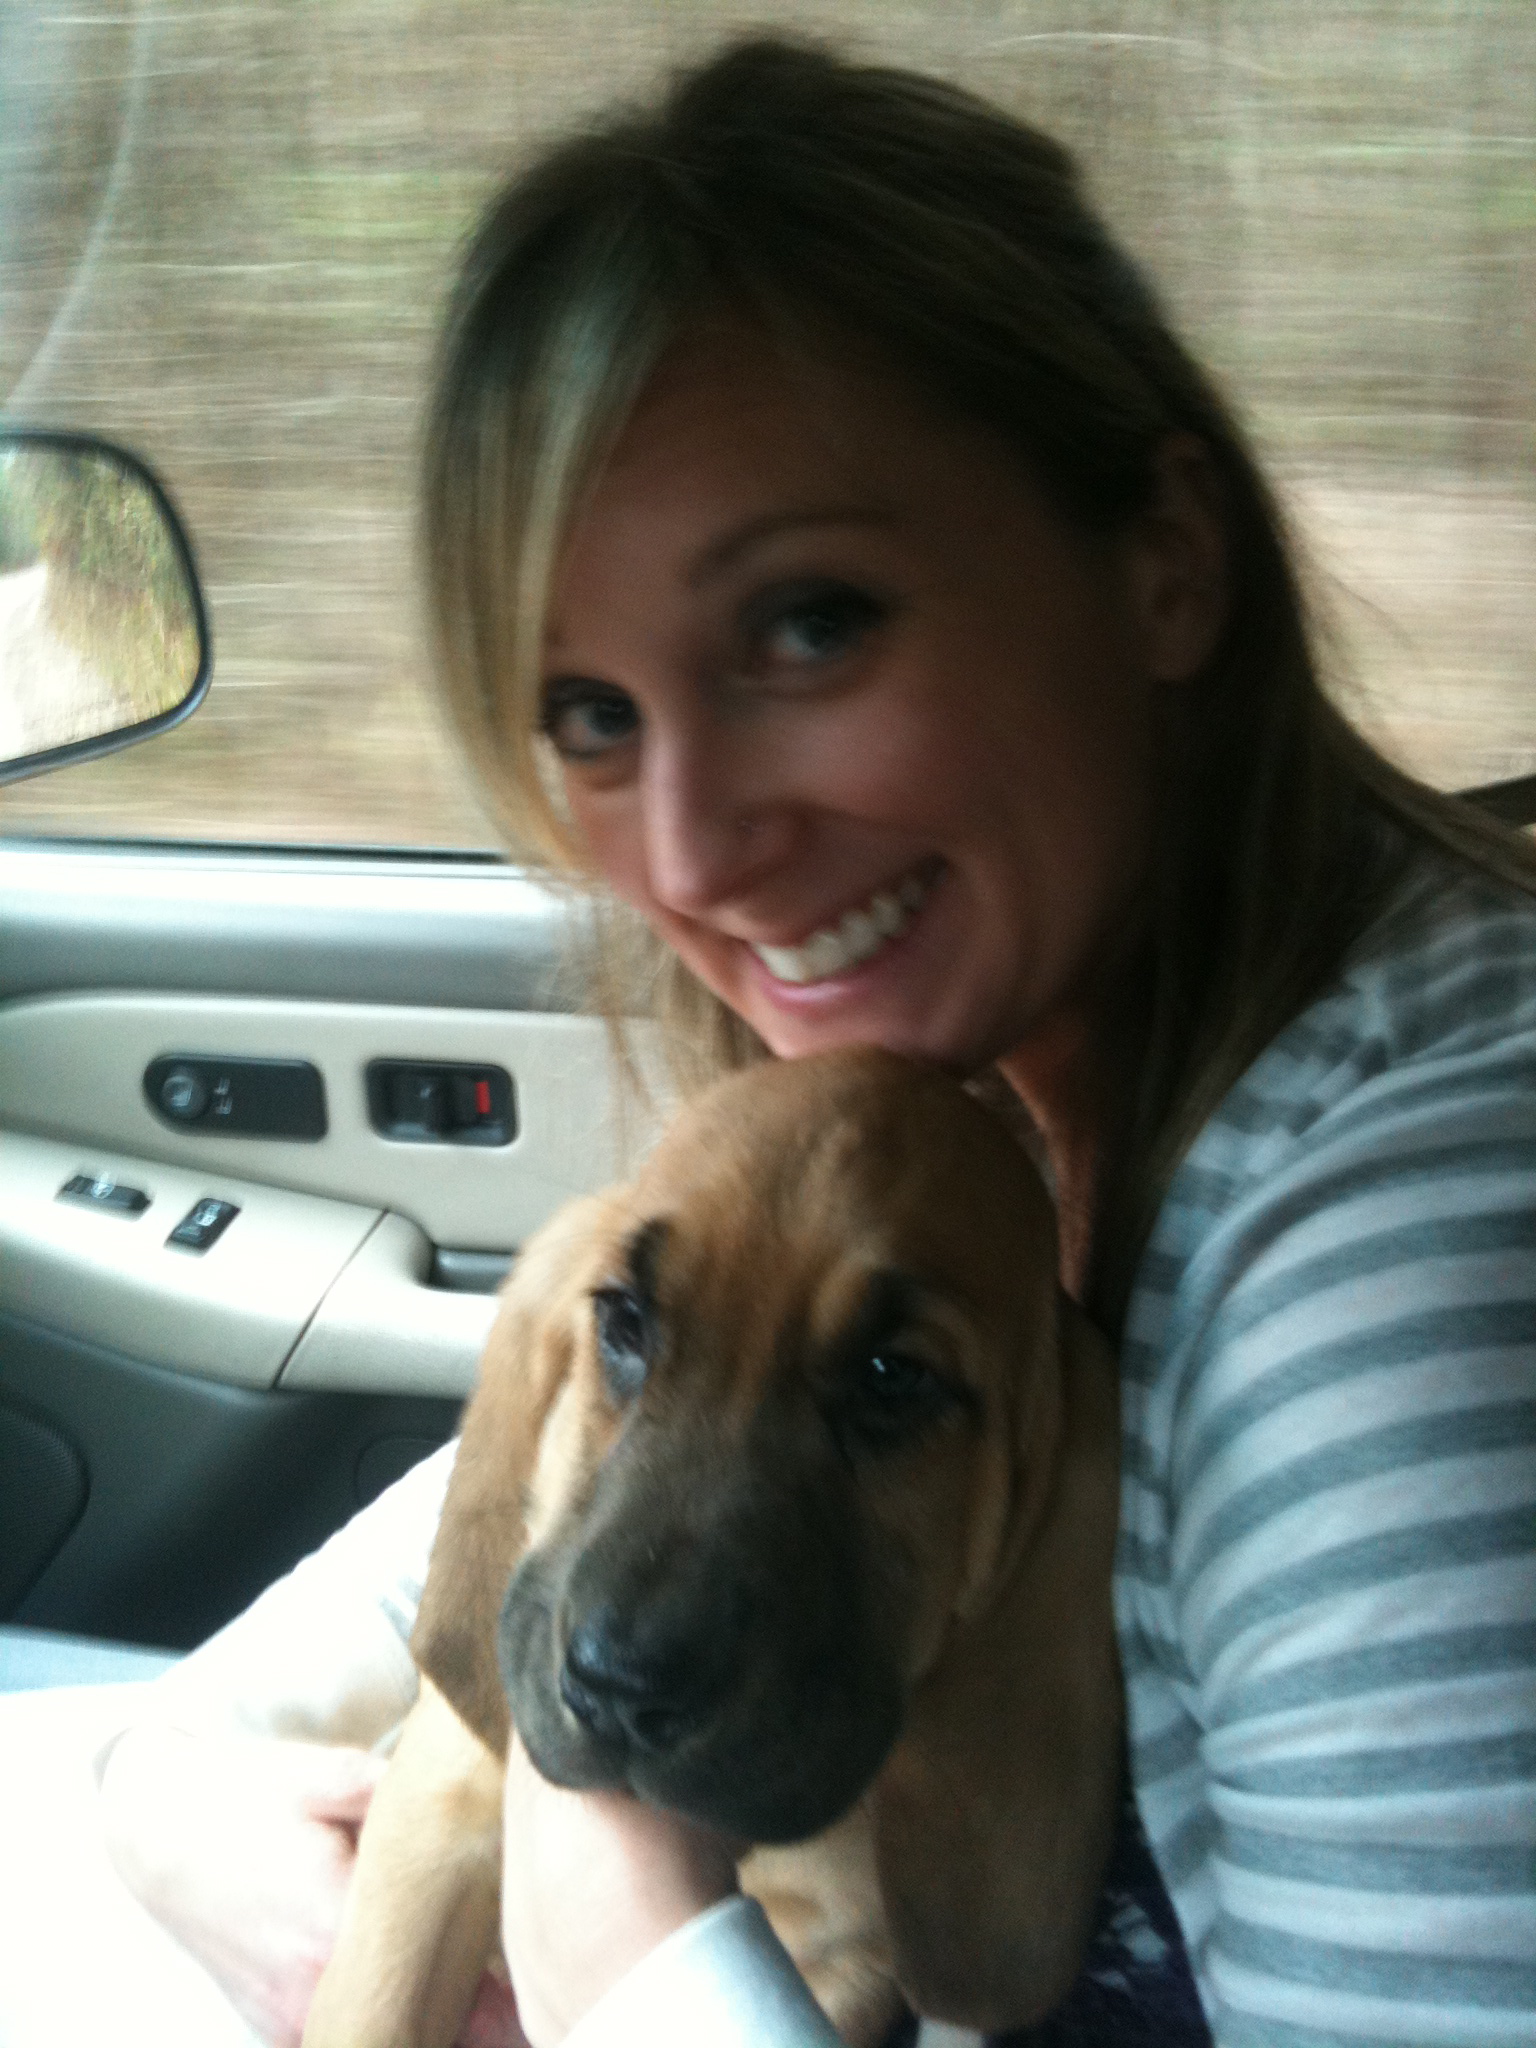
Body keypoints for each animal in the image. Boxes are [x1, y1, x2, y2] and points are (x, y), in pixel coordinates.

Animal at [302, 1048, 1122, 2047]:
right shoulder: (432, 1823)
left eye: (893, 1377)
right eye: (622, 1319)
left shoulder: (843, 1961)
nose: (618, 1689)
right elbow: (375, 2012)